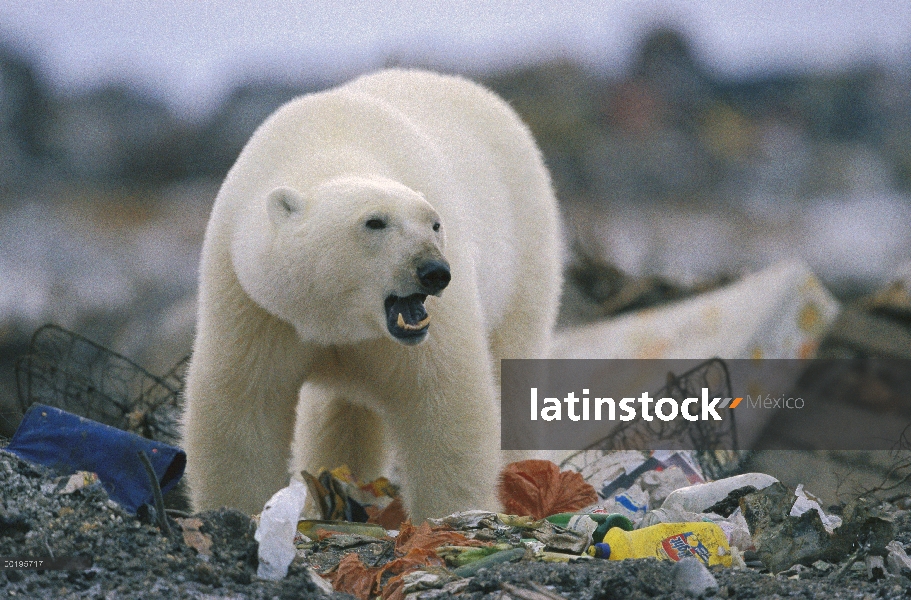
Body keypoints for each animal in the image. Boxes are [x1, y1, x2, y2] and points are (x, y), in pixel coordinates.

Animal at [181, 69, 564, 520]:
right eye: (375, 222)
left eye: (435, 223)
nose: (434, 272)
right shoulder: (253, 301)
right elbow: (241, 404)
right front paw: (241, 511)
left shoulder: (433, 328)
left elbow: (444, 400)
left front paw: (452, 513)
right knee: (339, 413)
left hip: (526, 248)